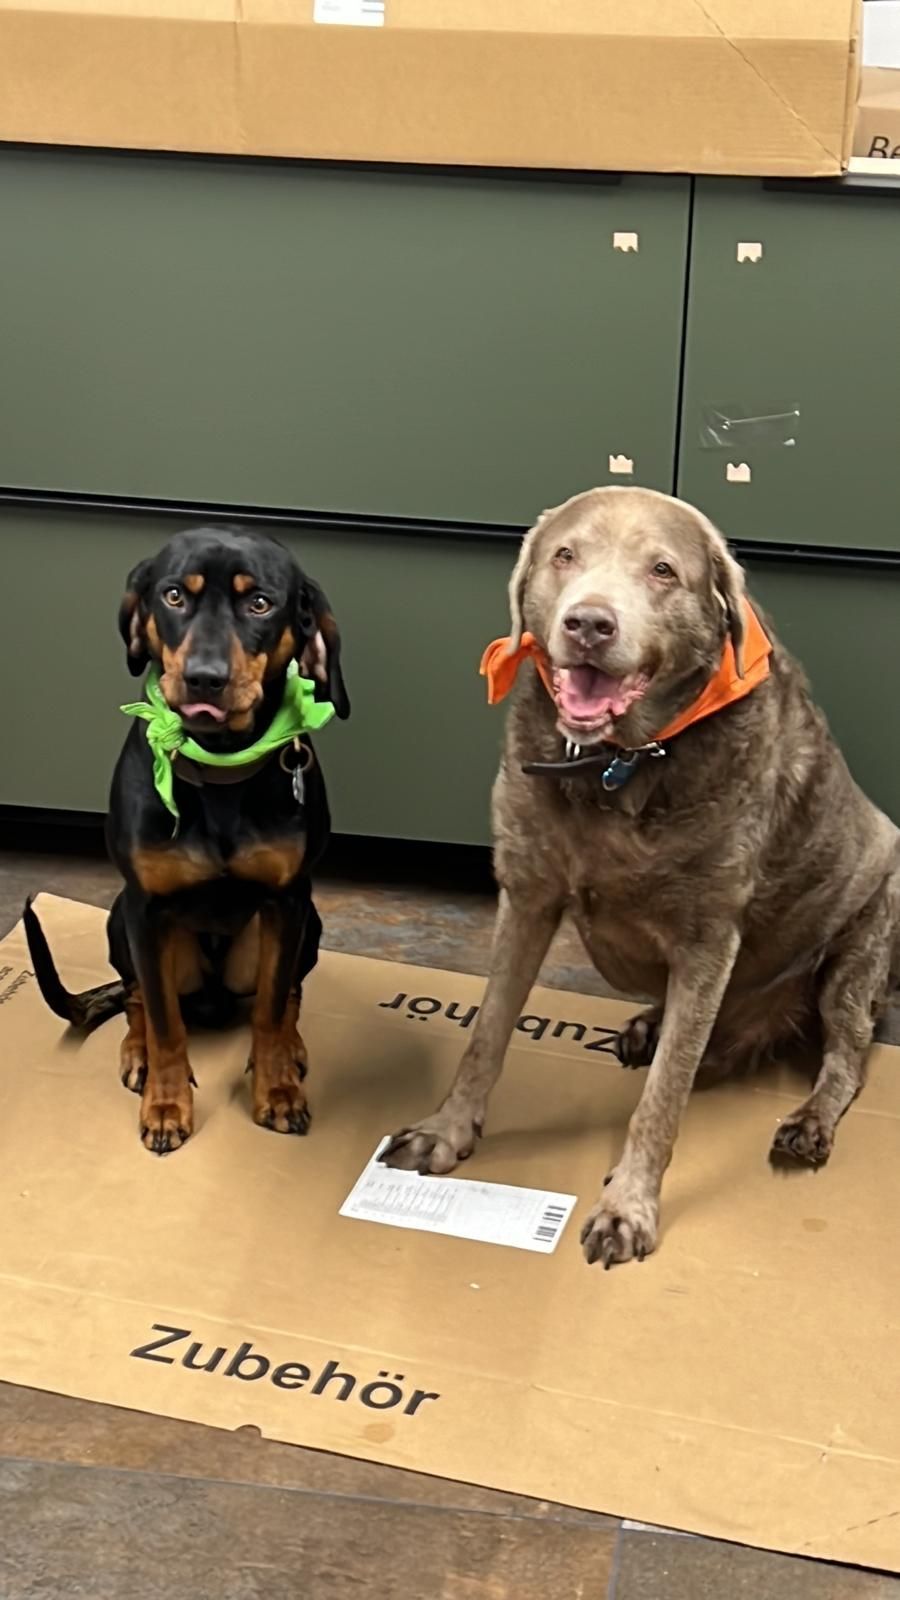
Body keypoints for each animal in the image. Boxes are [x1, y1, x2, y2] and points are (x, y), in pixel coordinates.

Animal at [25, 523, 349, 1154]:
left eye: (259, 603)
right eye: (174, 596)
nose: (204, 677)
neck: (219, 765)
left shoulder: (288, 902)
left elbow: (271, 1008)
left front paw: (276, 1090)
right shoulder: (146, 909)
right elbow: (164, 1021)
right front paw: (167, 1105)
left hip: (308, 925)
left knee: (285, 997)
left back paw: (291, 1047)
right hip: (119, 921)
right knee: (136, 999)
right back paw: (138, 1053)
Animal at [380, 487, 900, 1266]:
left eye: (663, 571)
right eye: (565, 555)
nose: (589, 624)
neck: (615, 767)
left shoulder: (709, 939)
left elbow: (662, 1099)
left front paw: (628, 1208)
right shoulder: (527, 894)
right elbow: (488, 1032)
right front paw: (447, 1130)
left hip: (860, 943)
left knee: (846, 1053)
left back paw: (807, 1120)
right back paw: (649, 1027)